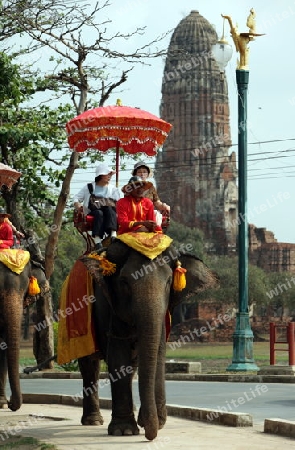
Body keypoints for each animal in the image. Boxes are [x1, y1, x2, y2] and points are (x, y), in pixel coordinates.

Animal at [79, 241, 220, 442]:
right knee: (89, 365)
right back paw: (93, 421)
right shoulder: (110, 307)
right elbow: (117, 354)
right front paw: (124, 431)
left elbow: (158, 351)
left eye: (169, 282)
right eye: (124, 282)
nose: (149, 433)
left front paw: (155, 422)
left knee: (130, 367)